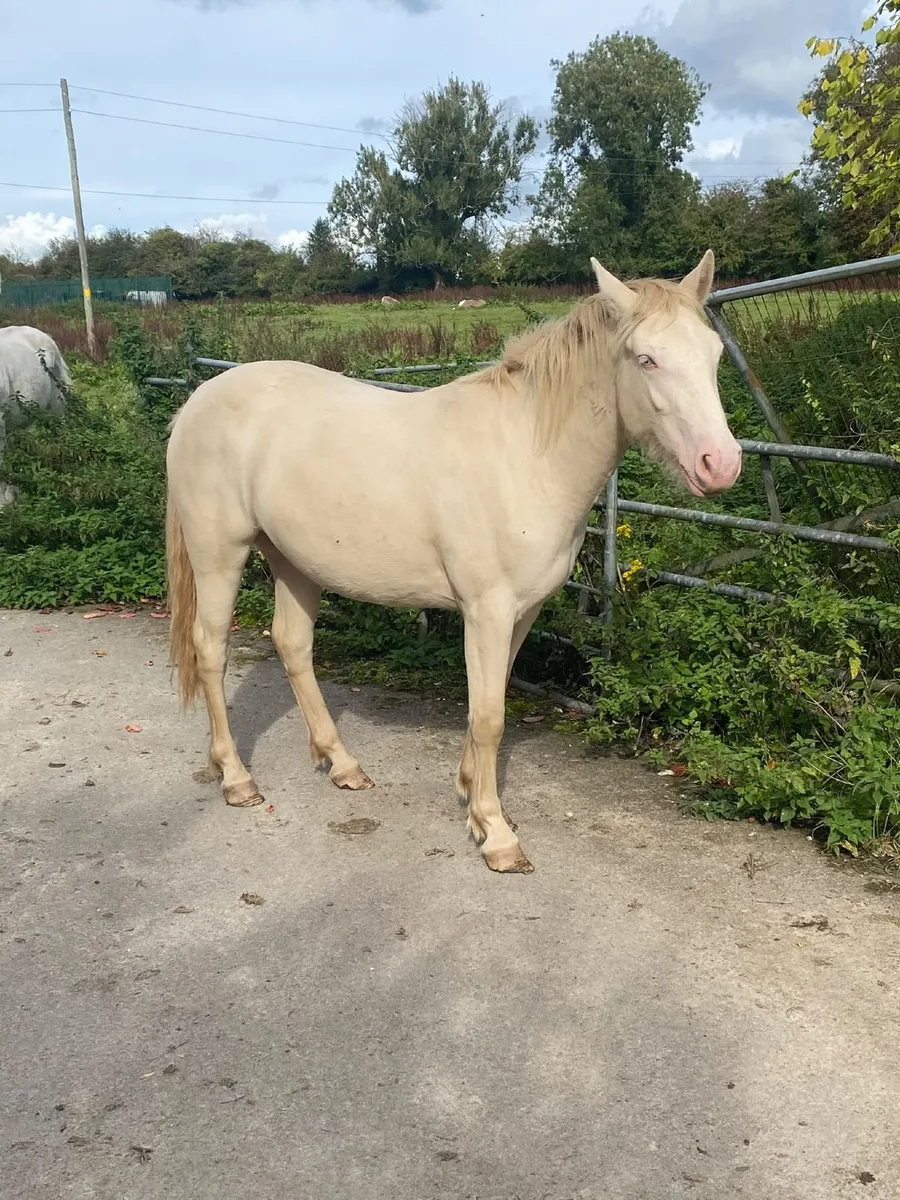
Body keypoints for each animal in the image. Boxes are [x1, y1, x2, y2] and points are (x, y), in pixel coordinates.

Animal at [165, 251, 741, 874]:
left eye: (713, 355)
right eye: (646, 359)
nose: (720, 464)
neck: (526, 455)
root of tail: (199, 398)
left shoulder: (522, 612)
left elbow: (493, 701)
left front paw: (471, 794)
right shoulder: (486, 610)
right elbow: (488, 717)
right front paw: (496, 834)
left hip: (293, 560)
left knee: (292, 644)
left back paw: (342, 763)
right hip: (219, 554)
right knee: (211, 650)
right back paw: (236, 777)